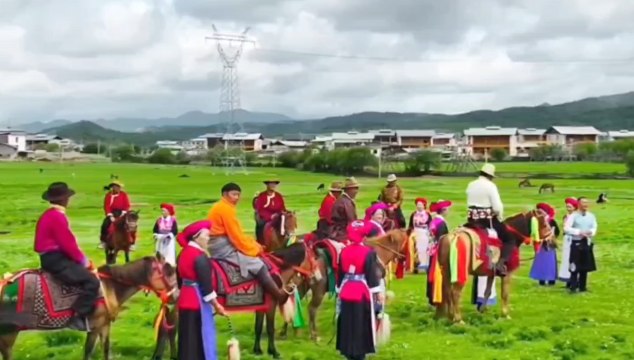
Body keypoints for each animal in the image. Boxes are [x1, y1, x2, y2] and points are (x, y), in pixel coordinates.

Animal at [0, 253, 178, 360]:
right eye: (168, 272)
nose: (176, 296)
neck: (110, 286)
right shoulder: (94, 327)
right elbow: (88, 353)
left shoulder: (105, 326)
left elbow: (106, 350)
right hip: (9, 332)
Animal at [152, 242, 320, 360]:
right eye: (314, 257)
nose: (318, 277)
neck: (276, 269)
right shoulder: (271, 304)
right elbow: (270, 329)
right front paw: (273, 352)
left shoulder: (261, 305)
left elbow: (258, 327)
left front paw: (257, 350)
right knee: (170, 326)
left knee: (168, 325)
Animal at [278, 229, 408, 342]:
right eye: (405, 241)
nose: (406, 258)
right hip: (318, 290)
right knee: (312, 309)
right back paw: (314, 335)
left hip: (300, 287)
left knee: (291, 304)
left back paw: (287, 332)